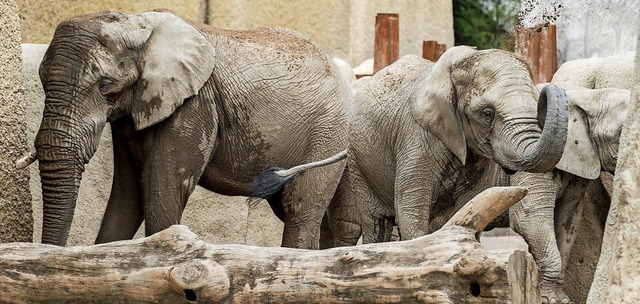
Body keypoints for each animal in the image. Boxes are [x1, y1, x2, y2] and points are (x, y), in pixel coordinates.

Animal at [17, 10, 350, 249]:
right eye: (42, 82)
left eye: (105, 86)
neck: (135, 23)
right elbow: (127, 194)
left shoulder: (195, 103)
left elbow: (164, 189)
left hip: (328, 131)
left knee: (299, 210)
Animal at [322, 46, 568, 248]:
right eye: (487, 114)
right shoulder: (417, 139)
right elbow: (410, 213)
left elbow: (472, 208)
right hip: (357, 158)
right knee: (375, 219)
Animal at [510, 86, 632, 302]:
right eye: (620, 134)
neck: (588, 97)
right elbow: (528, 218)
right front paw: (548, 300)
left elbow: (569, 221)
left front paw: (561, 299)